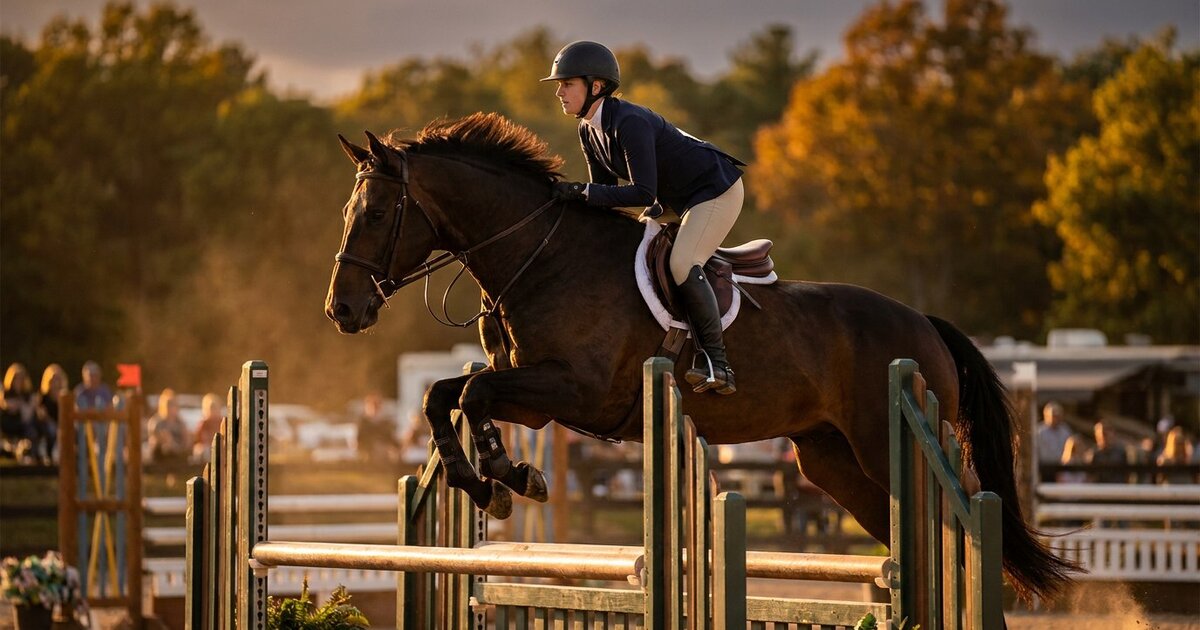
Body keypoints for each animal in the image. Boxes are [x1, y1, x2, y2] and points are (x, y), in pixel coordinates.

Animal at [324, 112, 1073, 601]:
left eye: (376, 213)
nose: (342, 311)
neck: (542, 257)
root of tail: (924, 323)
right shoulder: (534, 398)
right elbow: (442, 395)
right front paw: (483, 483)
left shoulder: (573, 390)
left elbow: (473, 395)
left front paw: (511, 479)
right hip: (830, 459)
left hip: (886, 440)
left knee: (958, 529)